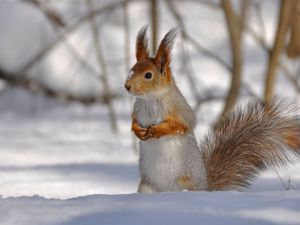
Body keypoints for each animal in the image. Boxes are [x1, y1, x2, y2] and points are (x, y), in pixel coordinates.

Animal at [123, 25, 300, 192]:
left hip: (185, 183)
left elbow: (183, 124)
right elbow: (133, 122)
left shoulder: (180, 109)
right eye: (131, 69)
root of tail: (206, 188)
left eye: (148, 75)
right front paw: (138, 130)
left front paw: (157, 130)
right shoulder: (137, 109)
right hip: (146, 187)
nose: (127, 86)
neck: (150, 99)